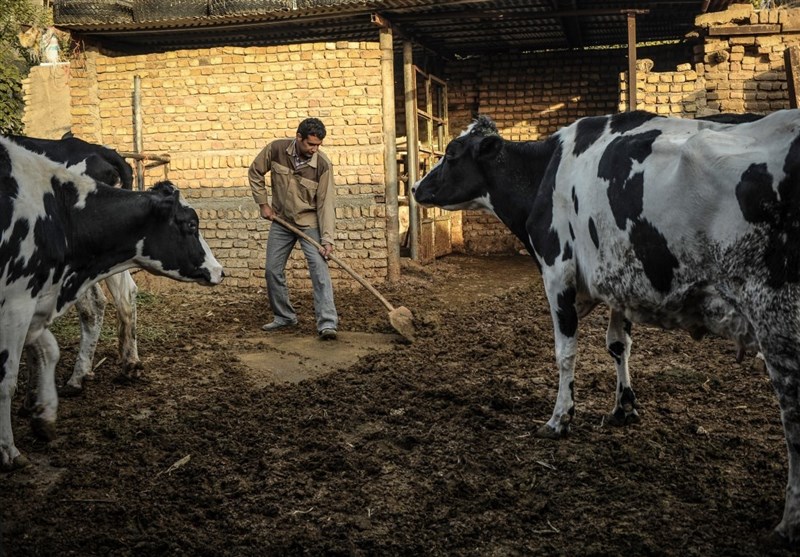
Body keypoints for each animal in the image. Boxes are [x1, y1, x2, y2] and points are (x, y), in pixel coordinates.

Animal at [416, 111, 800, 540]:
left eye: (451, 153)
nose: (416, 188)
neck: (544, 172)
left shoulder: (558, 269)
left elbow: (565, 353)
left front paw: (559, 419)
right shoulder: (619, 279)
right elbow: (618, 344)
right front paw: (623, 408)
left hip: (776, 315)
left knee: (792, 412)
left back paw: (788, 521)